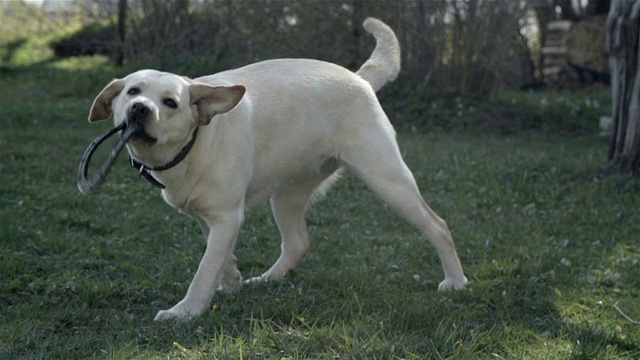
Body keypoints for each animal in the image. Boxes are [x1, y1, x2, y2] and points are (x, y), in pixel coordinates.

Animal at [87, 19, 468, 320]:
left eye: (170, 103)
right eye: (133, 91)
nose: (139, 109)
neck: (195, 144)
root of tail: (359, 79)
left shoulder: (227, 216)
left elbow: (204, 269)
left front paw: (186, 311)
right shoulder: (211, 217)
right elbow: (219, 256)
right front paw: (232, 281)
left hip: (388, 180)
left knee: (438, 225)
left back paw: (455, 281)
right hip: (287, 195)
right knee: (298, 244)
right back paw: (268, 280)